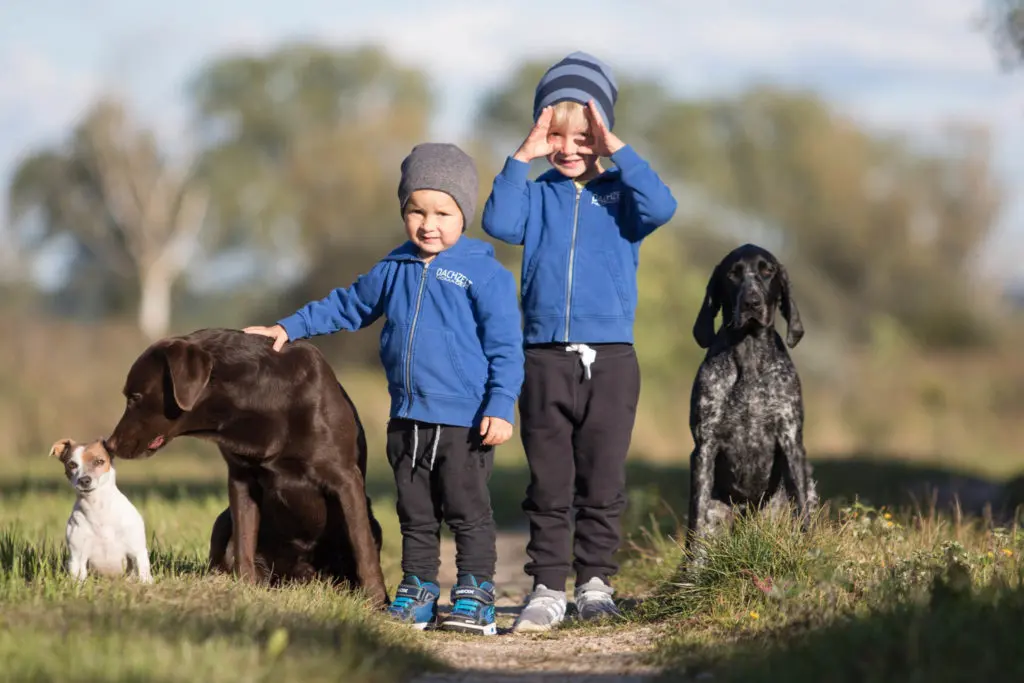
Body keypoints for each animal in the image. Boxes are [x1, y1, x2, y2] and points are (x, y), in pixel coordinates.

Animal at [684, 242, 819, 557]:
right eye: (733, 274)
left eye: (767, 271)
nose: (752, 303)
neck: (748, 355)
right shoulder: (704, 447)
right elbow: (696, 523)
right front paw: (692, 566)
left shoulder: (791, 439)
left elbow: (802, 509)